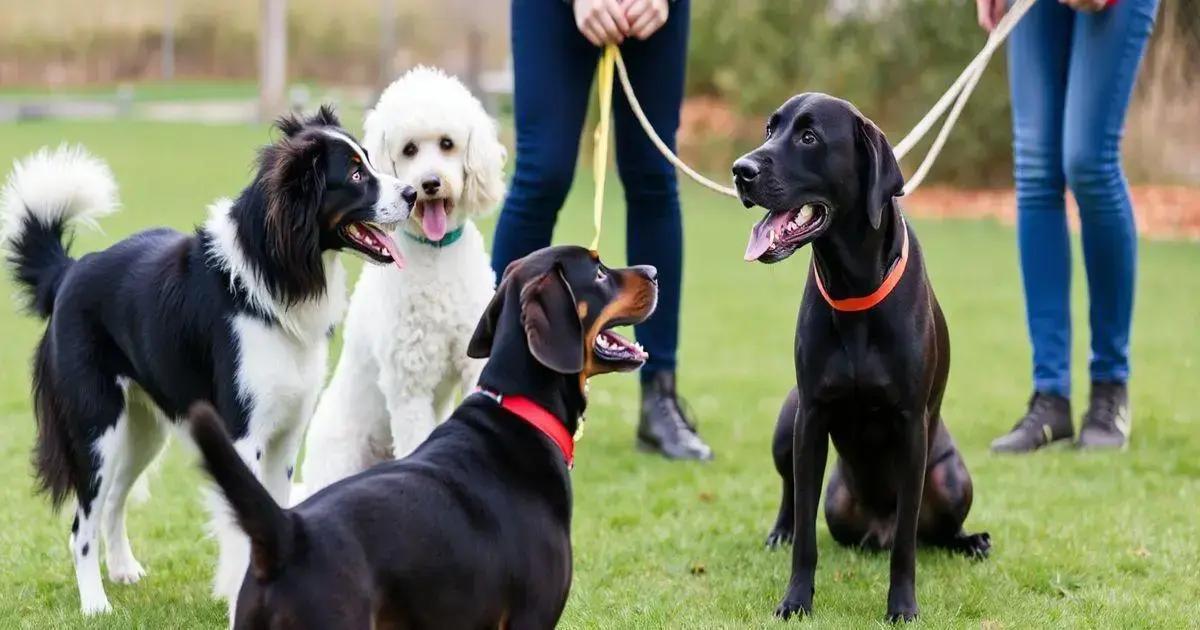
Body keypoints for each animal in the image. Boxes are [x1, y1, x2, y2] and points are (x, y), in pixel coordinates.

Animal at [1, 105, 417, 612]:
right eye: (356, 175)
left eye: (371, 162)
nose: (415, 193)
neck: (274, 269)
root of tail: (69, 272)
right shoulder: (243, 434)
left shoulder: (286, 434)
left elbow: (275, 509)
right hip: (96, 429)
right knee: (82, 524)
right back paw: (95, 605)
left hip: (142, 431)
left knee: (114, 502)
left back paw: (122, 571)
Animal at [729, 92, 993, 619]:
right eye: (770, 129)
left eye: (809, 137)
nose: (740, 171)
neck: (853, 287)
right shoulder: (810, 416)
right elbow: (806, 536)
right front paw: (795, 599)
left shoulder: (912, 427)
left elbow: (907, 545)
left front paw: (902, 607)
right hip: (791, 425)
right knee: (792, 494)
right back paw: (781, 530)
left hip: (951, 477)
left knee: (931, 533)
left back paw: (969, 541)